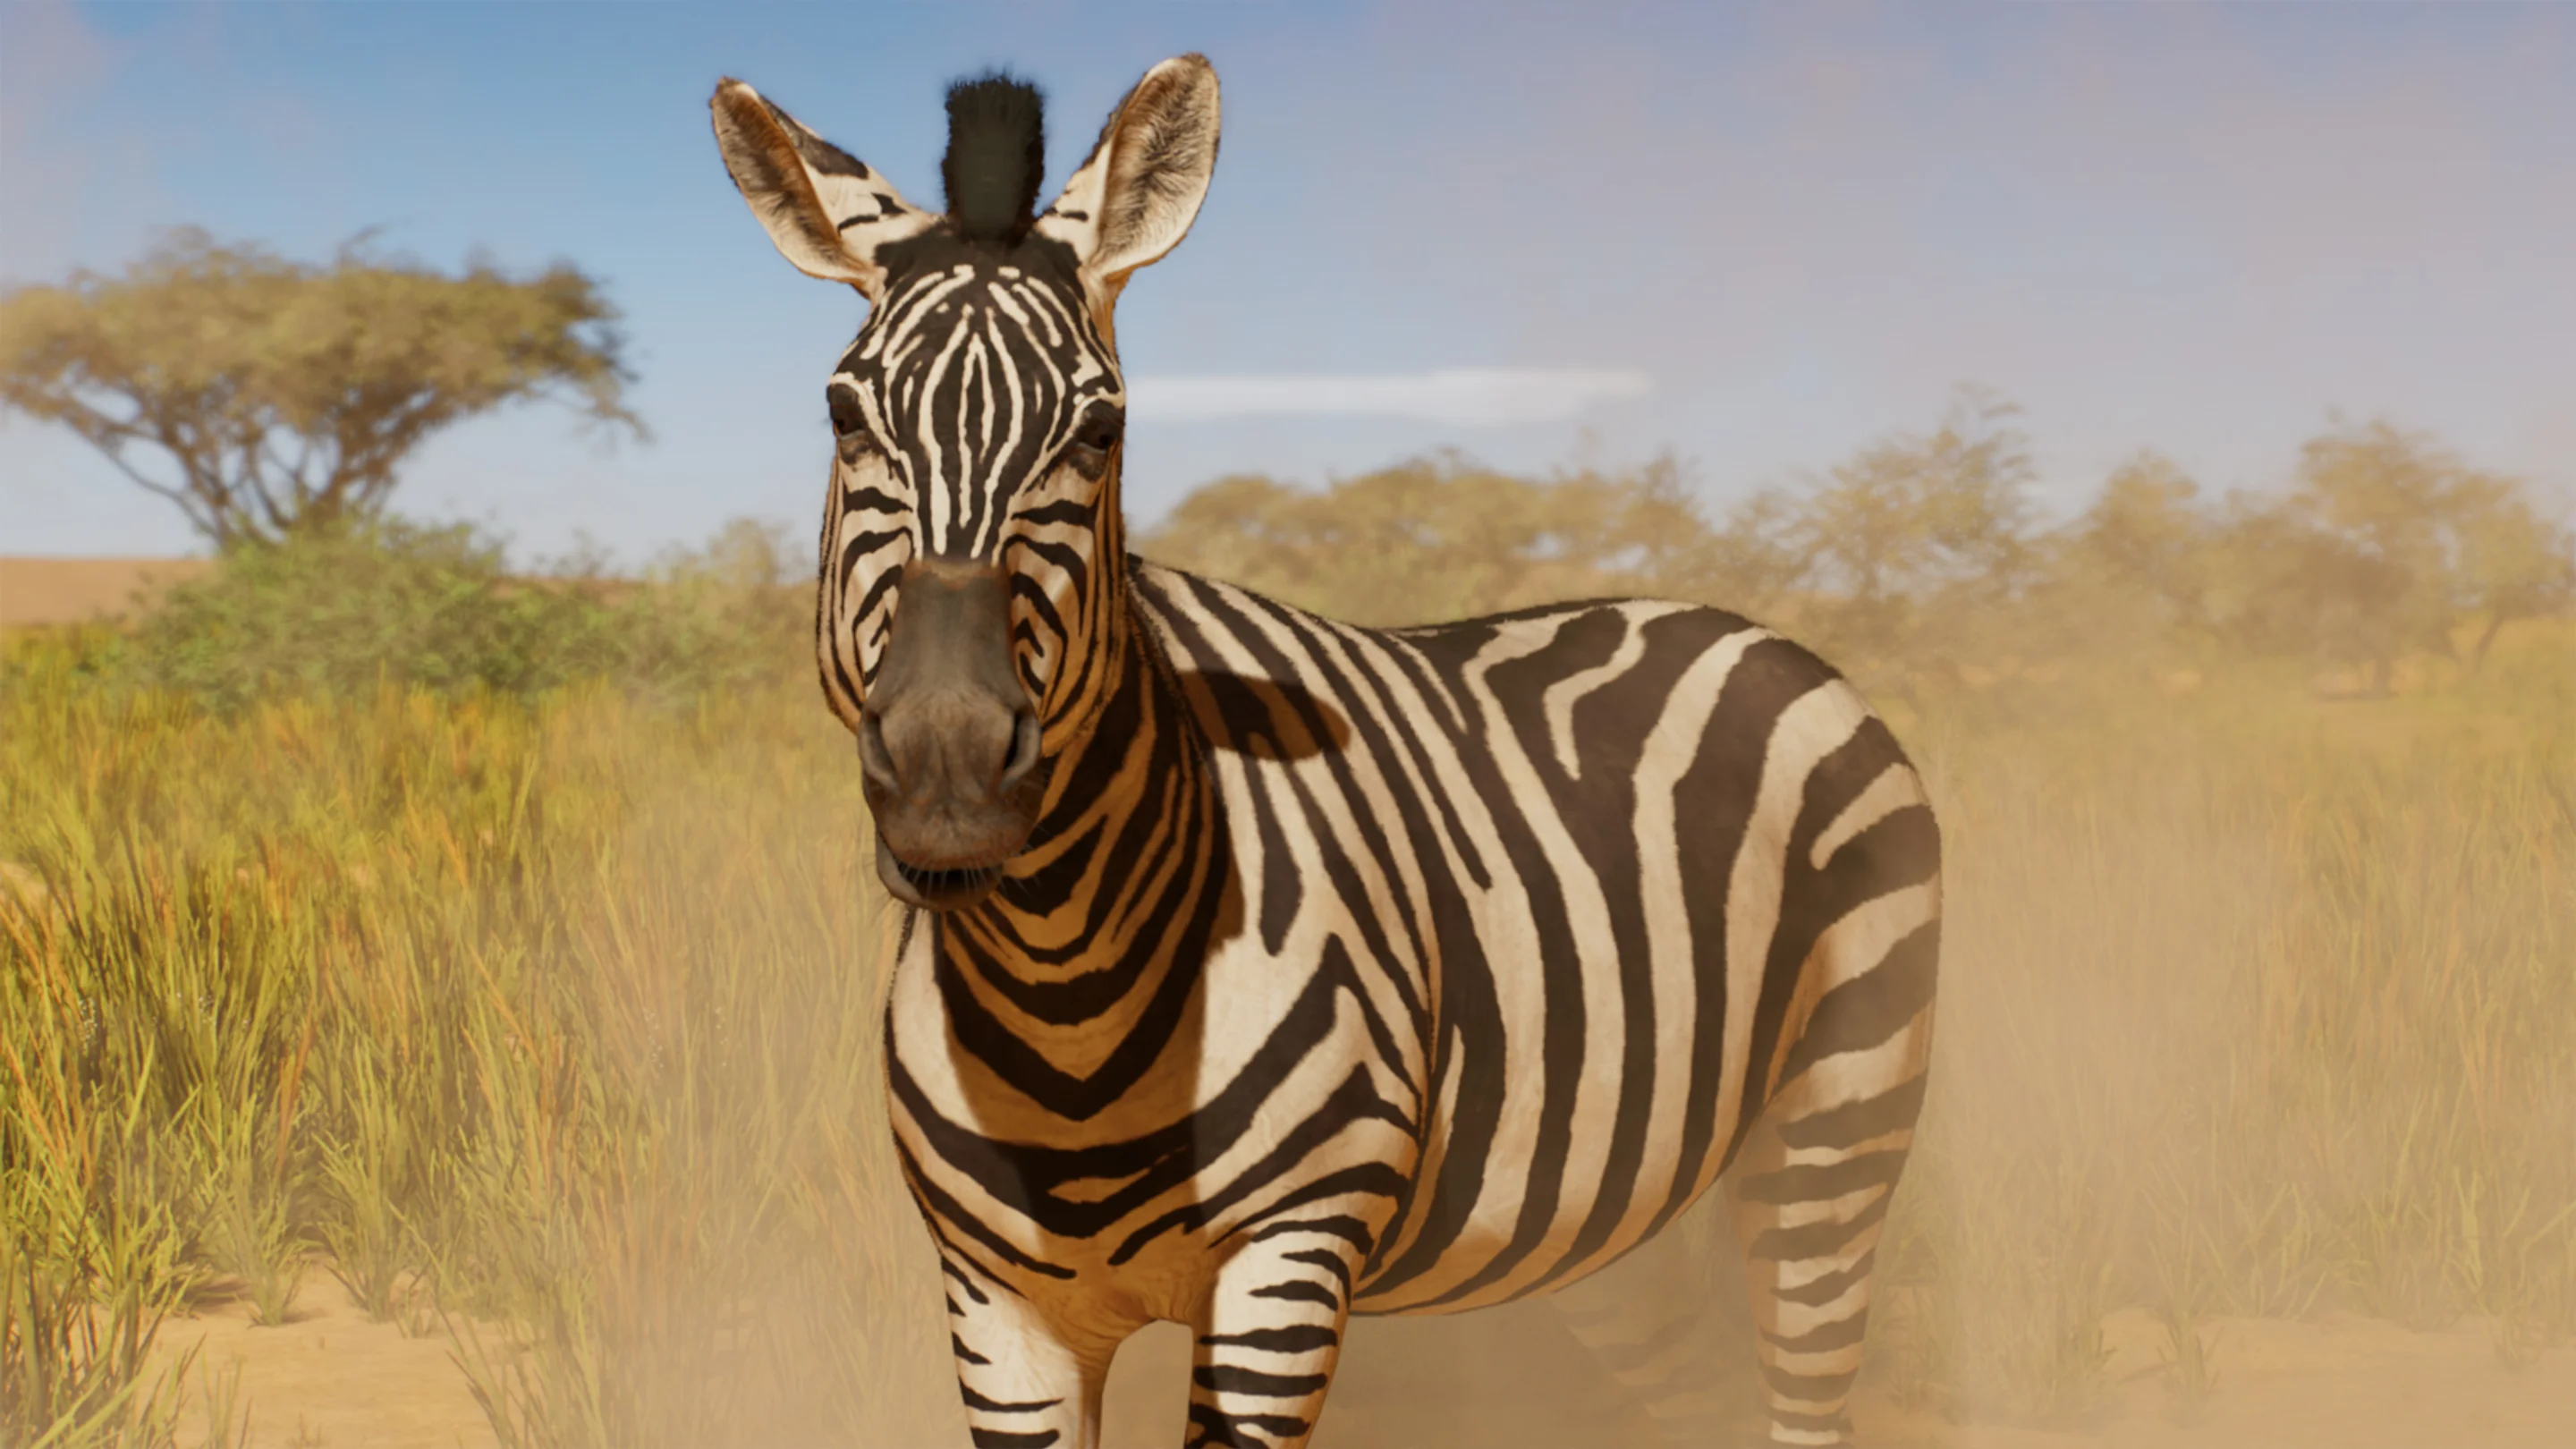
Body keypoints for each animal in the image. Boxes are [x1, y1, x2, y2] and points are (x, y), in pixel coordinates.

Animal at [710, 55, 1940, 1449]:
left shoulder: (1286, 1264)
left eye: (1100, 431)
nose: (949, 774)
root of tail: (1753, 627)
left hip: (1840, 1117)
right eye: (844, 415)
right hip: (1617, 1205)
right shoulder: (998, 1304)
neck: (1061, 978)